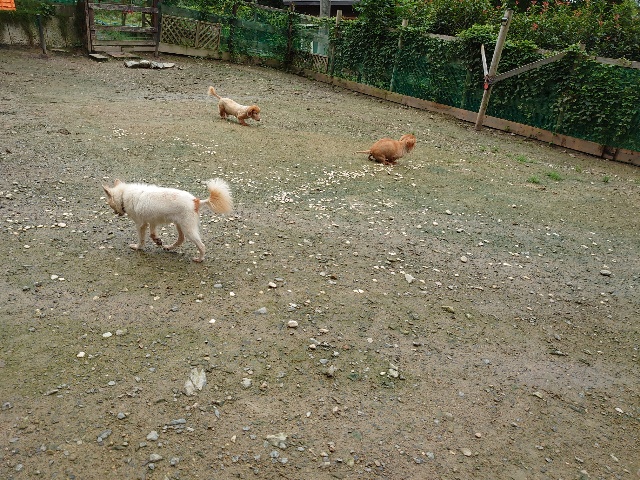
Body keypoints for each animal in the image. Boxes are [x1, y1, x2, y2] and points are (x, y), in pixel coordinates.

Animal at [102, 178, 233, 263]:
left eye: (110, 205)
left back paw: (199, 259)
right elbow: (152, 234)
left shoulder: (141, 224)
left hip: (188, 228)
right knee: (180, 240)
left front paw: (138, 247)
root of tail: (196, 201)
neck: (123, 195)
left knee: (201, 246)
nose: (115, 213)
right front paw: (157, 241)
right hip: (179, 225)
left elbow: (141, 239)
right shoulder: (152, 221)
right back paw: (169, 247)